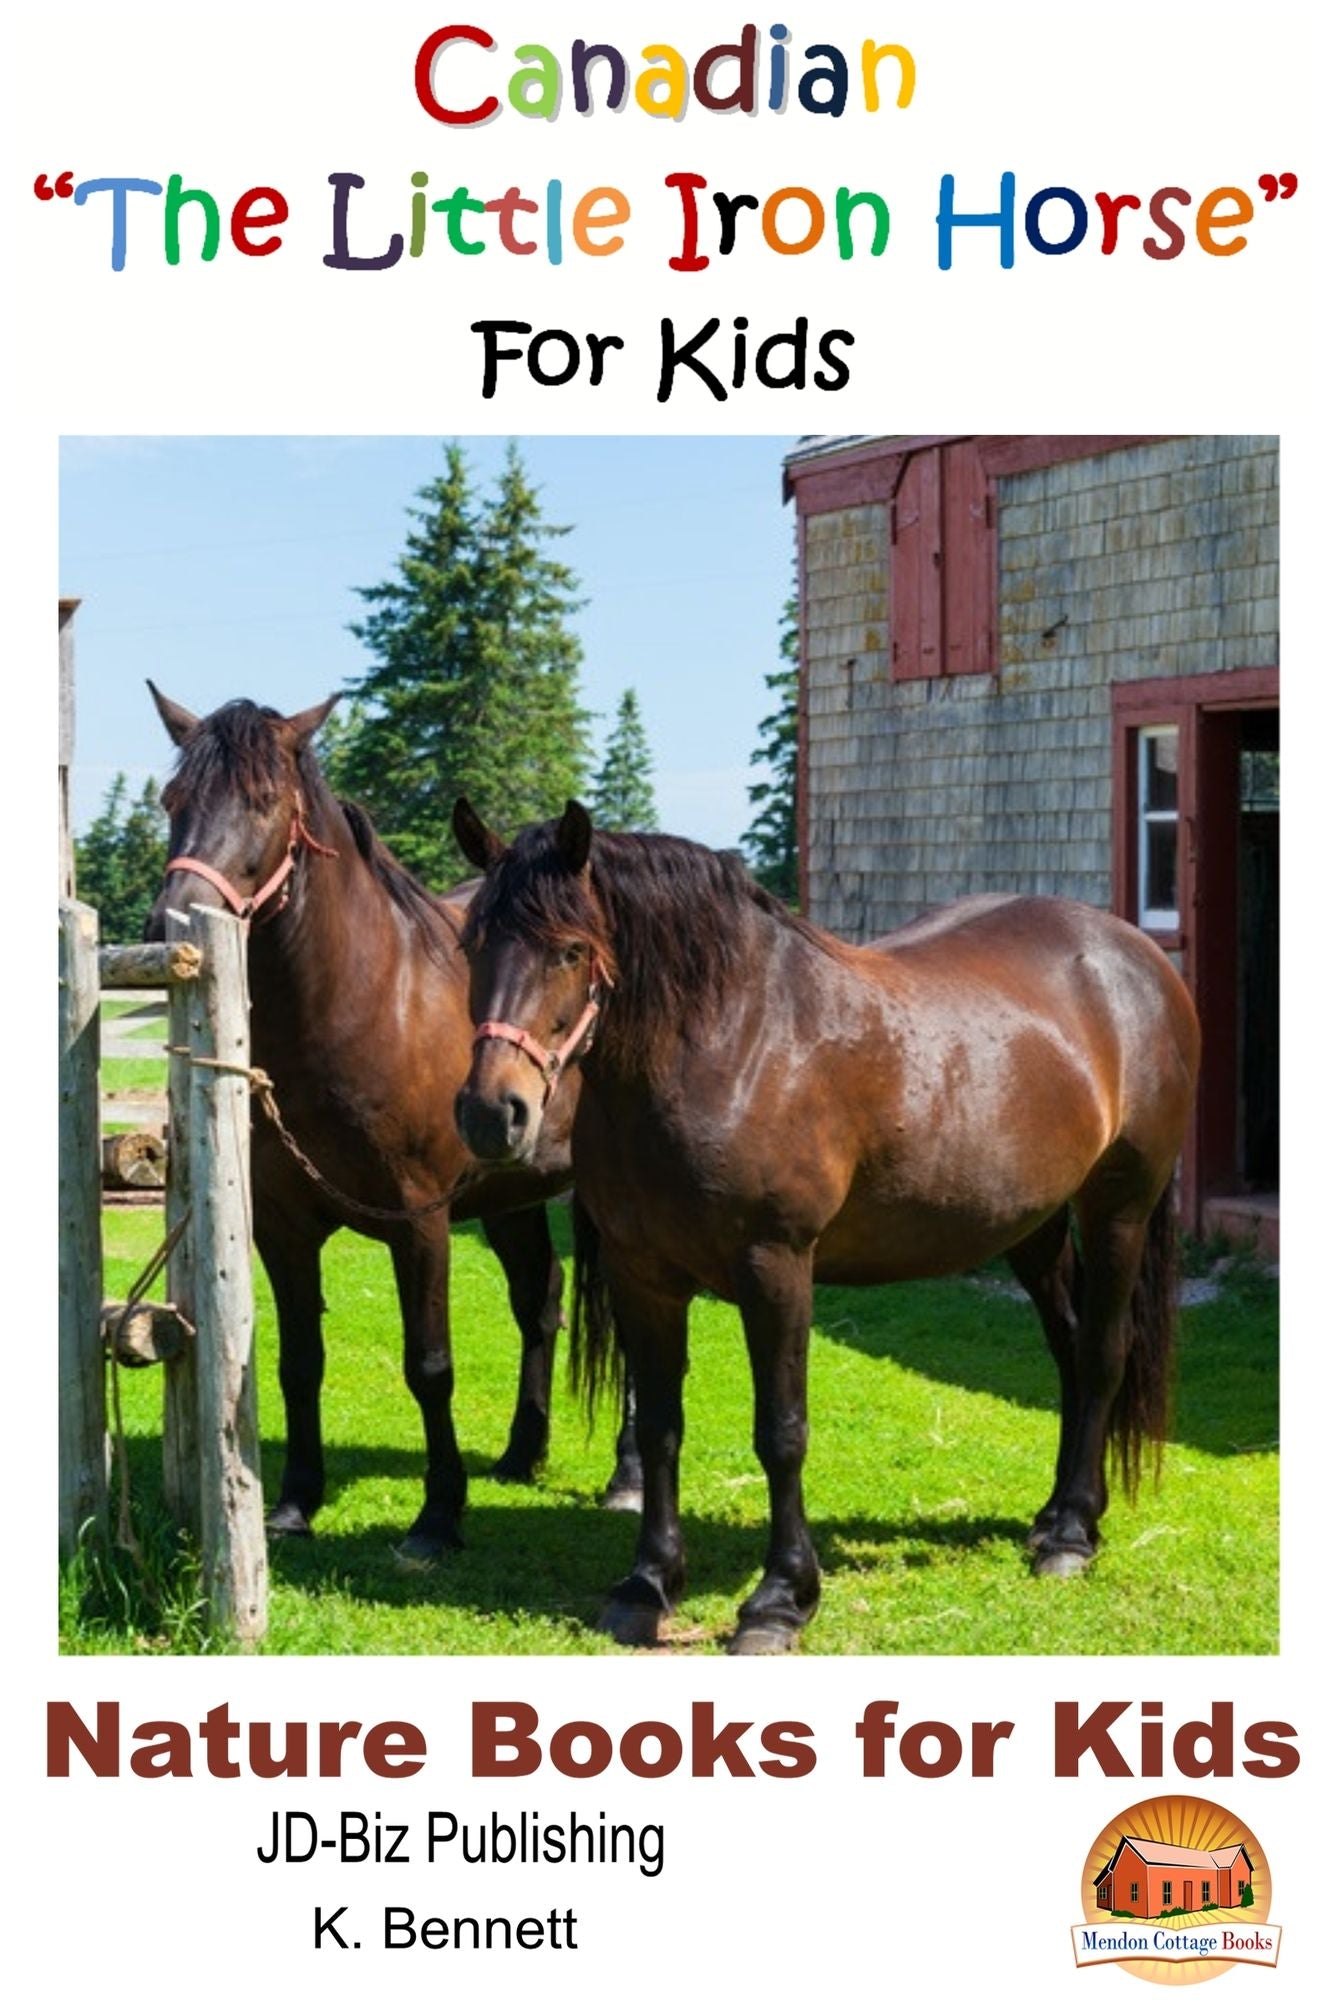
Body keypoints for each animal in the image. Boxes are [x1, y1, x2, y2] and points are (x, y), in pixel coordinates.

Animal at [145, 691, 638, 1564]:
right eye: (172, 802)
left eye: (265, 803)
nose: (168, 925)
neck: (360, 1005)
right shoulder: (283, 1226)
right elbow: (298, 1362)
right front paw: (295, 1501)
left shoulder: (421, 1222)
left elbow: (429, 1365)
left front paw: (438, 1517)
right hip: (510, 1195)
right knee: (539, 1298)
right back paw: (521, 1453)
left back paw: (625, 1477)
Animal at [451, 798, 1202, 1653]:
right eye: (472, 944)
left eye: (571, 950)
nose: (492, 1114)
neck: (730, 1043)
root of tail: (1135, 957)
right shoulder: (644, 1275)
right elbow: (660, 1428)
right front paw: (647, 1584)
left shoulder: (774, 1267)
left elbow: (780, 1432)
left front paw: (779, 1600)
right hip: (1029, 1227)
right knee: (1070, 1352)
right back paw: (1055, 1518)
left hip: (1117, 1209)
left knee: (1103, 1354)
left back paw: (1071, 1536)